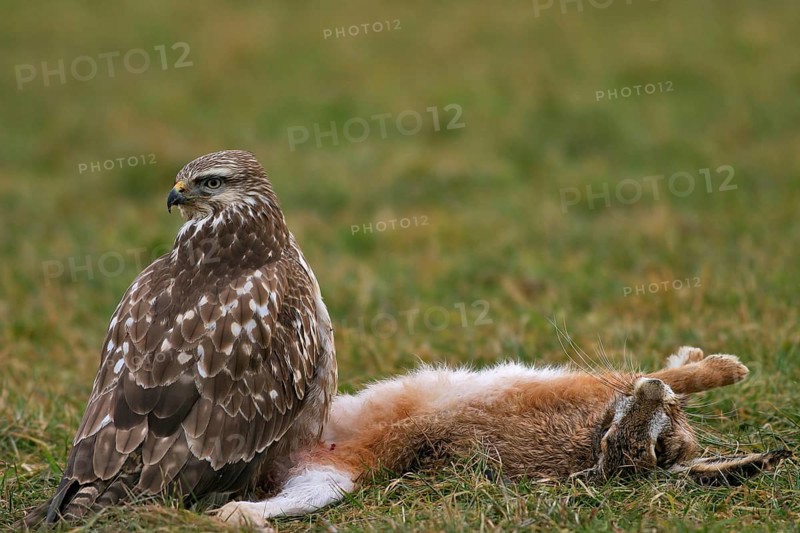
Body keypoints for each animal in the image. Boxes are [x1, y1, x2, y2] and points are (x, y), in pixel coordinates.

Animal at [216, 347, 791, 528]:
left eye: (653, 449)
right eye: (612, 441)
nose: (649, 393)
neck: (595, 424)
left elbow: (680, 378)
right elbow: (683, 377)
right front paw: (725, 366)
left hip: (327, 481)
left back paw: (234, 516)